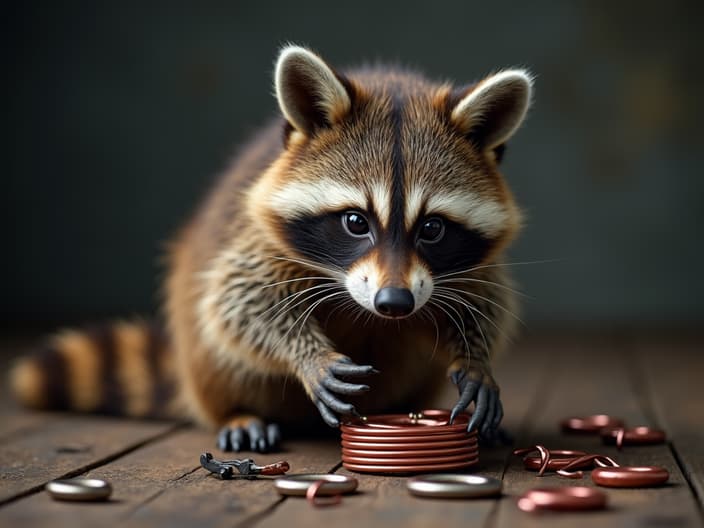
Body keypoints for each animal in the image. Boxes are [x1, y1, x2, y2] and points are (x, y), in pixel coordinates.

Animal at [11, 45, 532, 452]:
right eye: (355, 222)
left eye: (432, 229)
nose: (394, 303)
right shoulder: (257, 235)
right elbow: (237, 301)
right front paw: (307, 353)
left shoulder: (471, 266)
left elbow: (486, 301)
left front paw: (475, 357)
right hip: (200, 356)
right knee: (217, 350)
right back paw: (238, 413)